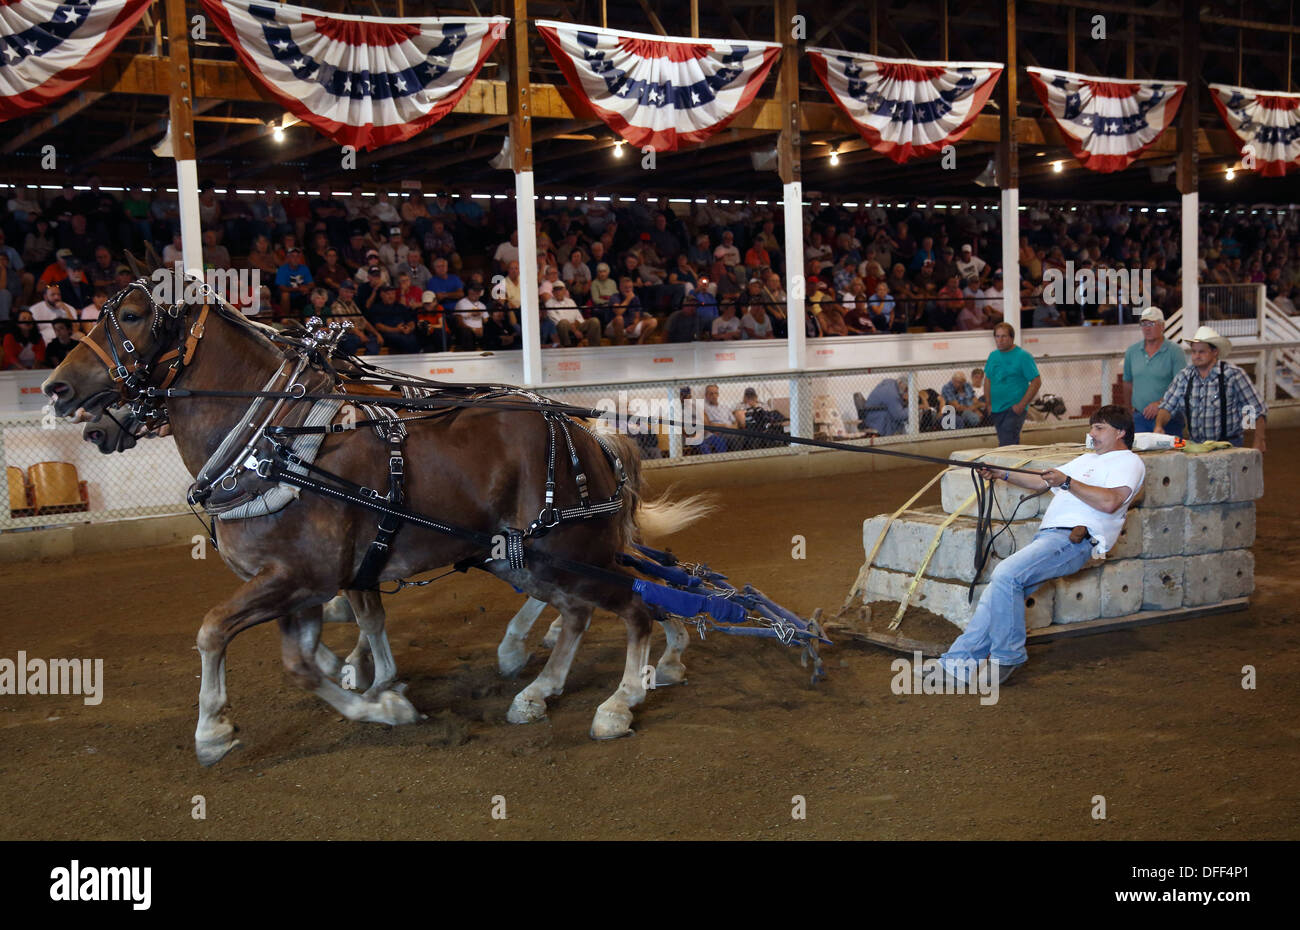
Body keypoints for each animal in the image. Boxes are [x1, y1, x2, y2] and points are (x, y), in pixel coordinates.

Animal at [45, 273, 712, 770]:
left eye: (133, 316)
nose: (56, 389)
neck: (274, 440)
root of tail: (586, 432)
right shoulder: (303, 586)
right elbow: (312, 655)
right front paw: (377, 695)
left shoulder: (302, 577)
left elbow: (218, 631)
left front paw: (214, 728)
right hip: (521, 556)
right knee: (583, 610)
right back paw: (539, 689)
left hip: (574, 550)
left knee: (635, 603)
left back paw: (623, 698)